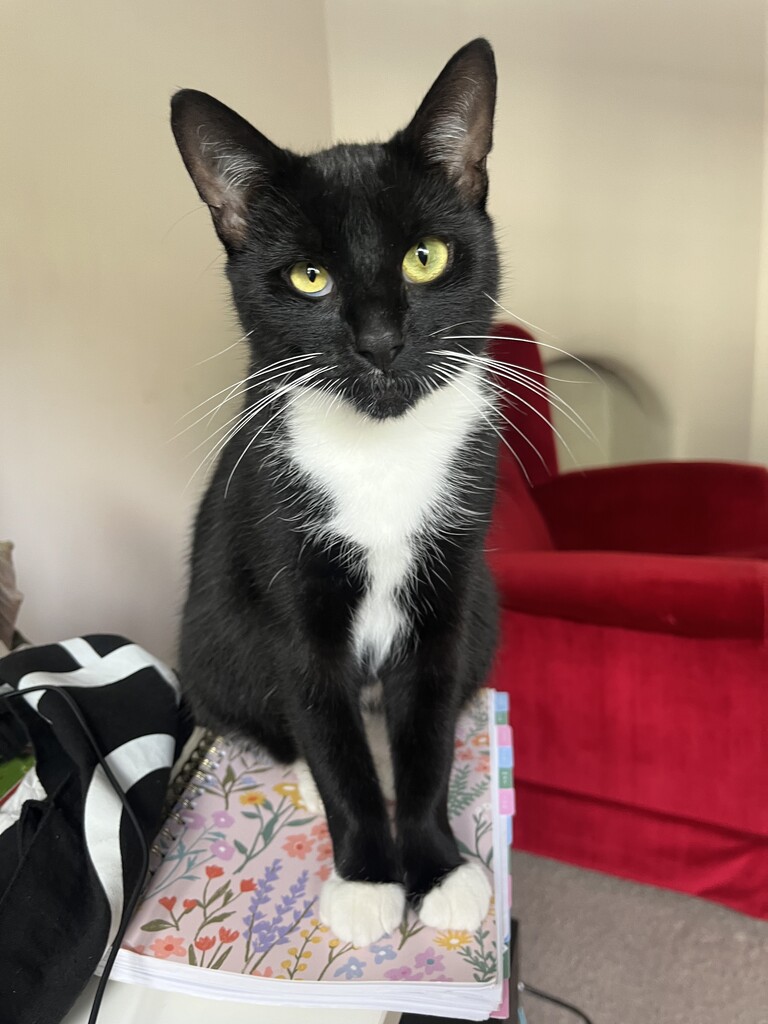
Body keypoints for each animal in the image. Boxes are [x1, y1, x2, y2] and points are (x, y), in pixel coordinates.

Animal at [173, 38, 500, 946]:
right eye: (309, 277)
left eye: (426, 256)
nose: (380, 341)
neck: (379, 457)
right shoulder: (290, 597)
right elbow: (331, 744)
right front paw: (366, 879)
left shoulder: (451, 589)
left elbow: (428, 732)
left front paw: (438, 866)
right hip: (210, 642)